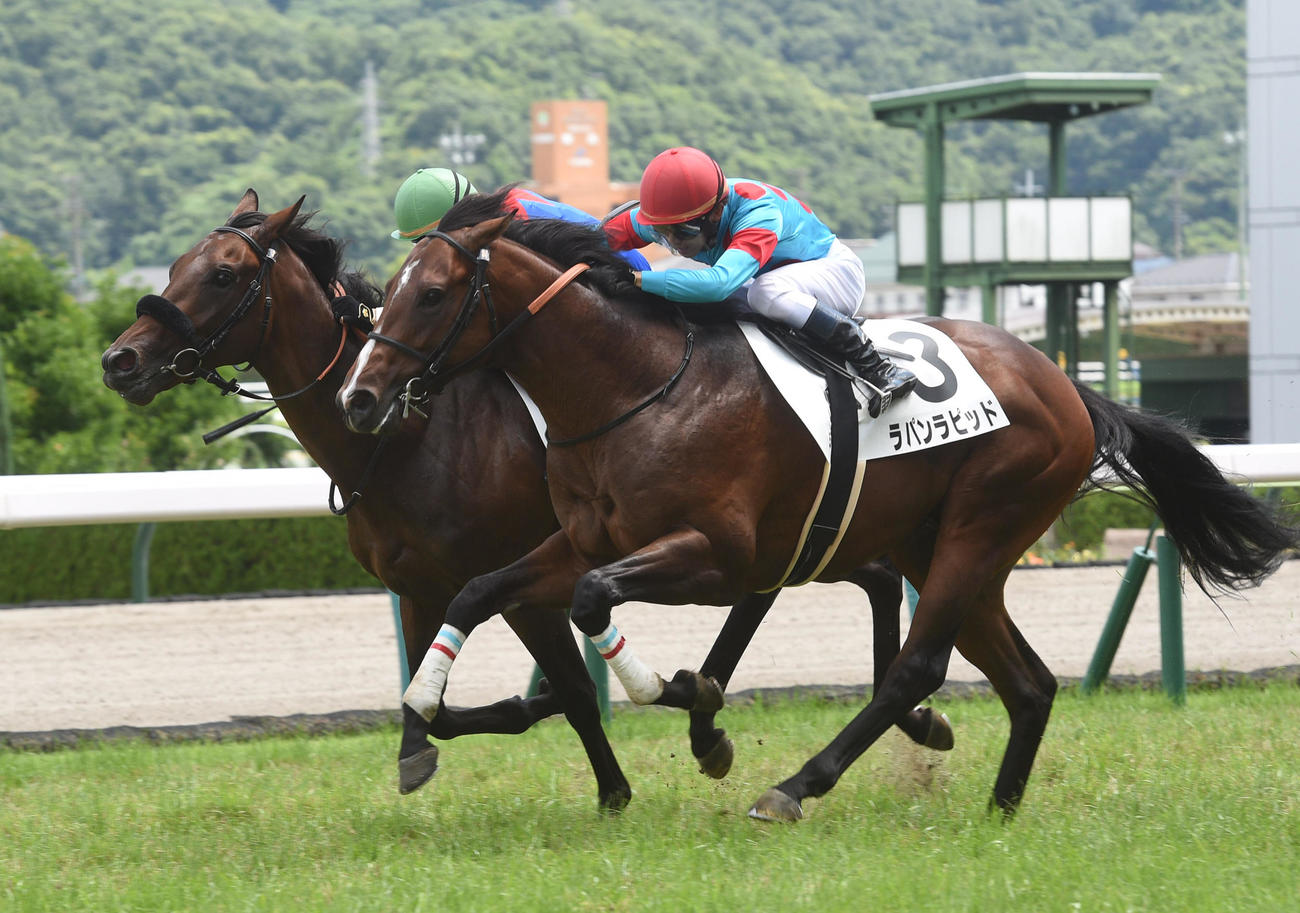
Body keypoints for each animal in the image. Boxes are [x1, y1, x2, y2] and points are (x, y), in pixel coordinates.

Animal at [100, 190, 949, 809]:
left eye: (221, 275)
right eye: (175, 263)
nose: (120, 359)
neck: (413, 436)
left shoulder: (529, 577)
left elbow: (568, 686)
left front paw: (612, 784)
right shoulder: (419, 584)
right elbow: (433, 702)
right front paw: (426, 749)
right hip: (802, 532)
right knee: (862, 578)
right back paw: (903, 717)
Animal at [338, 189, 1296, 821]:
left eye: (432, 293)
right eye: (385, 290)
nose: (358, 395)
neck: (632, 386)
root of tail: (1068, 386)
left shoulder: (716, 553)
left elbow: (593, 602)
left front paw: (672, 689)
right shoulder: (579, 538)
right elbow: (478, 590)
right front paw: (422, 708)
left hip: (983, 523)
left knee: (919, 665)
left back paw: (798, 786)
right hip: (939, 544)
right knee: (1028, 681)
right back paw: (999, 808)